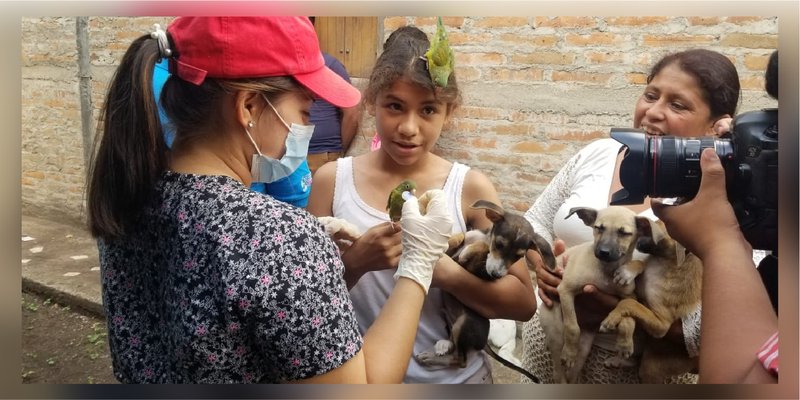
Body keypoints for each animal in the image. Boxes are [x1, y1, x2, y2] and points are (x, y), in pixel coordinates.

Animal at [412, 200, 556, 372]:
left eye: (519, 256)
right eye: (499, 244)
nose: (496, 275)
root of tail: (484, 343)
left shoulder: (475, 269)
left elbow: (480, 248)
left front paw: (469, 250)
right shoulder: (462, 244)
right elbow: (461, 236)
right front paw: (449, 241)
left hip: (465, 323)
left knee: (460, 360)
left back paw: (431, 358)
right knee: (454, 344)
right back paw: (443, 345)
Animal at [536, 206, 664, 384]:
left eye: (624, 233)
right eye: (599, 228)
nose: (603, 252)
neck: (606, 271)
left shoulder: (629, 298)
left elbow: (629, 318)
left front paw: (625, 344)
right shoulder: (566, 289)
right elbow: (572, 327)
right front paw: (569, 353)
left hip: (585, 347)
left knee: (574, 372)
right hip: (556, 333)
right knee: (558, 371)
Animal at [600, 220, 700, 382]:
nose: (638, 240)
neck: (664, 261)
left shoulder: (661, 324)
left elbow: (630, 303)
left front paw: (612, 317)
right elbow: (641, 264)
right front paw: (628, 271)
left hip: (651, 366)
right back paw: (619, 361)